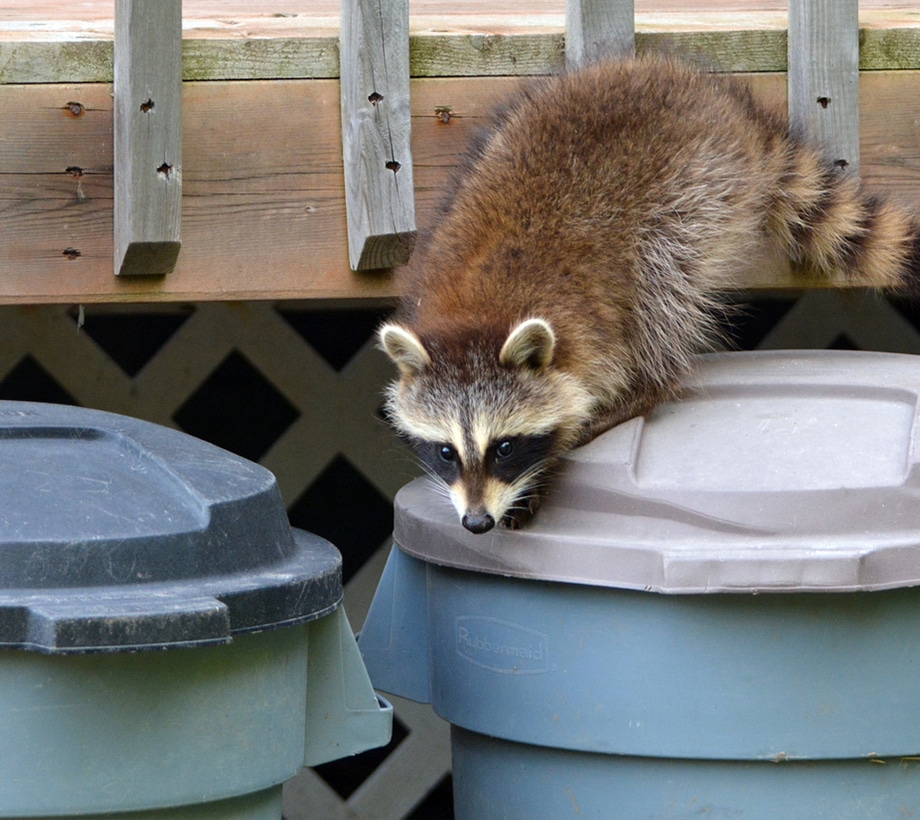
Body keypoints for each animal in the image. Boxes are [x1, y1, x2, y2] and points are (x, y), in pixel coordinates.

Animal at [376, 54, 920, 536]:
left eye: (504, 448)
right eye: (446, 451)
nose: (475, 522)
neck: (478, 315)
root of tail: (728, 110)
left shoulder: (592, 331)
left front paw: (551, 458)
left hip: (693, 196)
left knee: (662, 287)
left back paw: (652, 381)